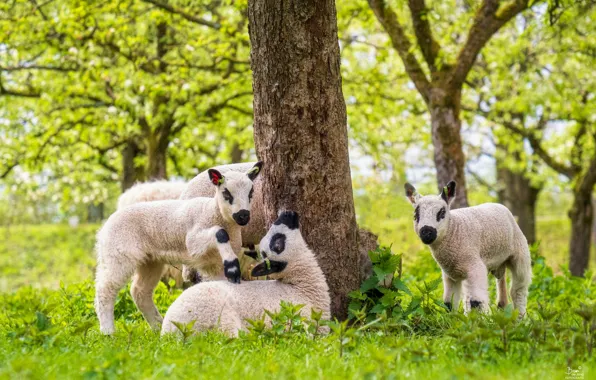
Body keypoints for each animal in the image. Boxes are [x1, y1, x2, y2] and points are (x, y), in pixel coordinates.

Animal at [162, 211, 330, 338]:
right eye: (278, 244)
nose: (287, 213)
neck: (302, 288)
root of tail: (169, 331)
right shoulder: (294, 319)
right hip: (218, 316)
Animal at [406, 181, 532, 314]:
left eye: (442, 213)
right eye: (415, 216)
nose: (426, 233)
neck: (454, 230)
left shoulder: (474, 266)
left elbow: (475, 302)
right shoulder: (450, 275)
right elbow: (449, 303)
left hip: (521, 252)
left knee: (518, 290)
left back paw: (520, 316)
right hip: (498, 261)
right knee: (501, 281)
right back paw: (502, 308)